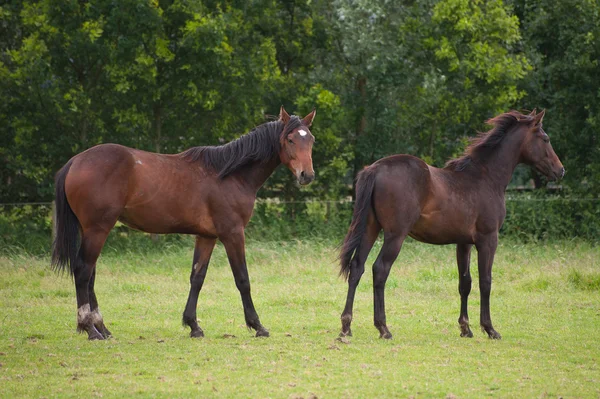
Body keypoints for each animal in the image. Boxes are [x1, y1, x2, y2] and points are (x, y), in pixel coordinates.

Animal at [51, 107, 318, 340]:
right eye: (290, 139)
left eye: (311, 140)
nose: (307, 175)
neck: (229, 175)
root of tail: (75, 162)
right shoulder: (233, 234)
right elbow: (242, 279)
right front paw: (257, 325)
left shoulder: (207, 236)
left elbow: (197, 278)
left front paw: (193, 325)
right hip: (98, 229)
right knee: (83, 271)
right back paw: (90, 329)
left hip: (92, 230)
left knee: (90, 274)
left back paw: (102, 328)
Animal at [340, 110, 564, 340]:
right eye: (545, 139)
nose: (560, 170)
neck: (486, 178)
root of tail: (375, 169)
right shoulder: (488, 240)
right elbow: (485, 281)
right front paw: (489, 328)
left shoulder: (464, 243)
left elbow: (465, 283)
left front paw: (466, 328)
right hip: (395, 235)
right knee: (380, 270)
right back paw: (383, 328)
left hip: (370, 229)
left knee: (357, 267)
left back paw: (347, 326)